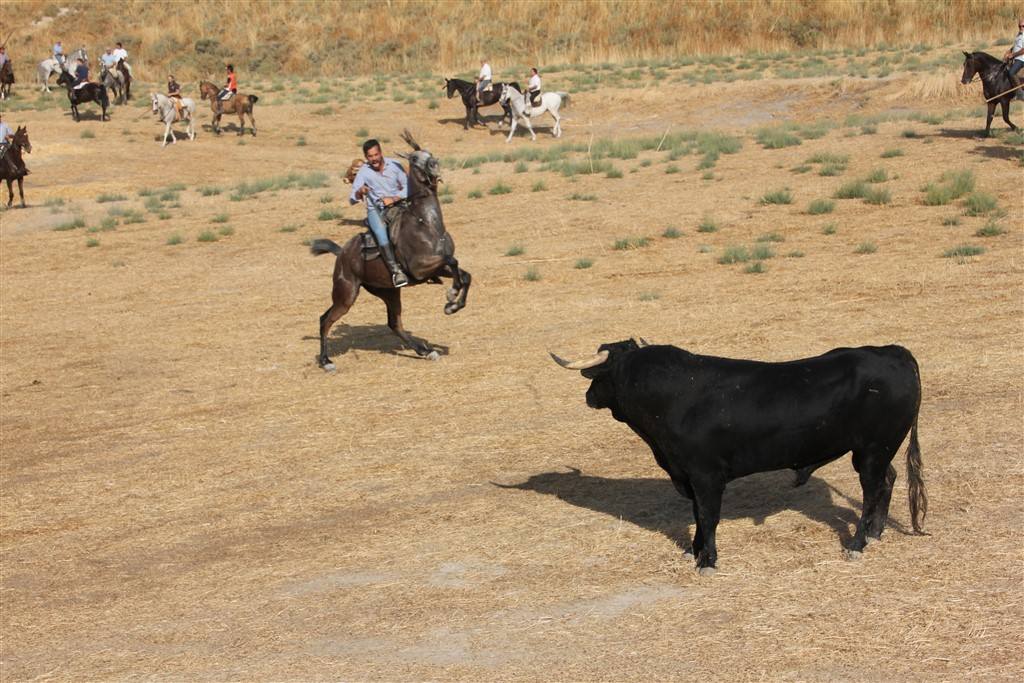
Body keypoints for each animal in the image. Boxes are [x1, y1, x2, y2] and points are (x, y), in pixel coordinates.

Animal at [311, 130, 471, 370]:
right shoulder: (420, 267)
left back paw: (425, 351)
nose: (434, 165)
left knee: (394, 323)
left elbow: (463, 273)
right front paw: (451, 296)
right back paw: (326, 361)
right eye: (414, 158)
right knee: (325, 320)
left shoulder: (435, 268)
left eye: (429, 153)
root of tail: (342, 253)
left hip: (388, 291)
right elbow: (452, 262)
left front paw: (453, 305)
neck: (426, 224)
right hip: (346, 294)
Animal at [552, 339, 929, 573]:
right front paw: (694, 551)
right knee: (887, 481)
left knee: (872, 489)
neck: (674, 395)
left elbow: (708, 516)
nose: (588, 396)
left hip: (872, 451)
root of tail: (892, 352)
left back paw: (857, 542)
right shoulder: (690, 476)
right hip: (877, 451)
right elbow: (697, 515)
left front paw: (708, 561)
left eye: (602, 373)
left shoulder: (706, 476)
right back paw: (876, 532)